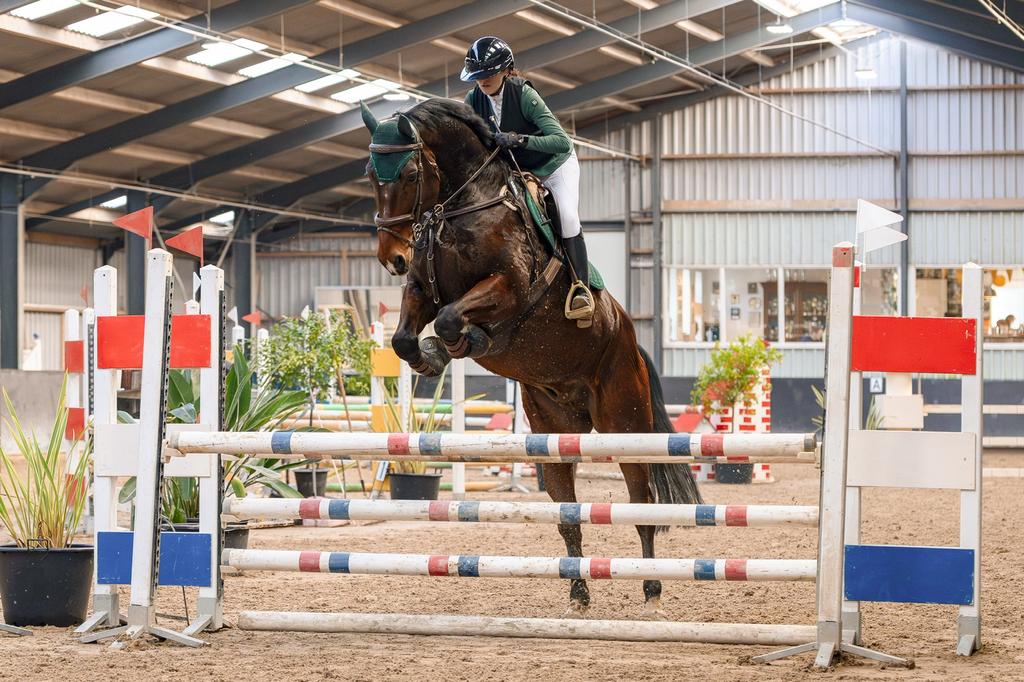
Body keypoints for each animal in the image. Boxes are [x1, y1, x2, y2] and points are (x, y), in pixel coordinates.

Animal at [361, 98, 702, 617]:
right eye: (370, 174)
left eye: (411, 171)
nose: (392, 257)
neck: (461, 206)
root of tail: (632, 342)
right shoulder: (421, 288)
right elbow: (404, 338)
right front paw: (431, 357)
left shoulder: (511, 286)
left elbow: (452, 320)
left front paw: (464, 342)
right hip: (554, 433)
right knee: (568, 513)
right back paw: (579, 593)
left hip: (624, 420)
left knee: (641, 502)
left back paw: (650, 588)